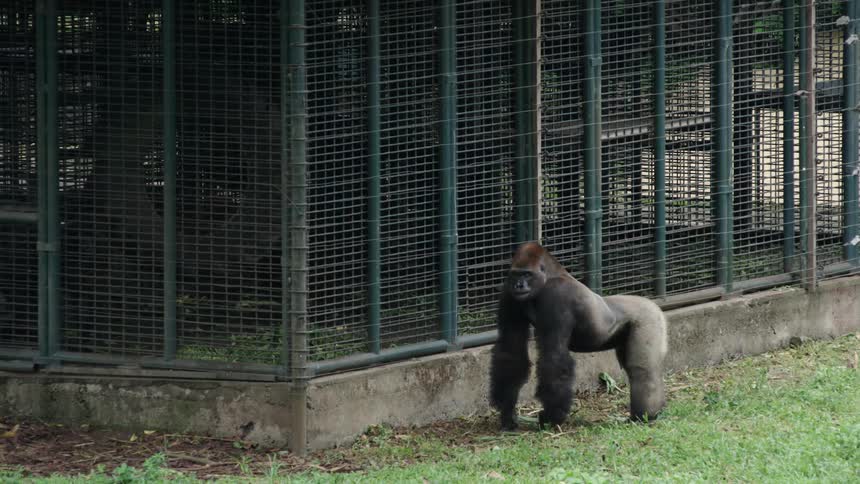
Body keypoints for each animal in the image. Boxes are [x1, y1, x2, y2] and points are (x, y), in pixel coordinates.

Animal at [489, 242, 668, 431]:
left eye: (527, 274)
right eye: (516, 274)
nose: (519, 285)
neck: (548, 278)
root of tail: (652, 302)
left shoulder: (557, 296)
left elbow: (554, 357)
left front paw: (551, 417)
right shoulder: (508, 294)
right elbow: (511, 349)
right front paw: (507, 412)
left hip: (649, 316)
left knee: (643, 370)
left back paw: (645, 415)